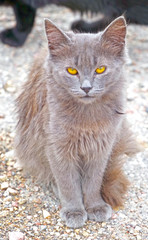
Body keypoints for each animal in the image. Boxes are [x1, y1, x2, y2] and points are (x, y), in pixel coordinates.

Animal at [15, 16, 139, 227]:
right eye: (72, 71)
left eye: (100, 69)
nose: (86, 87)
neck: (87, 120)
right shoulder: (57, 147)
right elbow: (68, 183)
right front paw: (74, 211)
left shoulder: (101, 146)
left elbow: (93, 181)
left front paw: (95, 206)